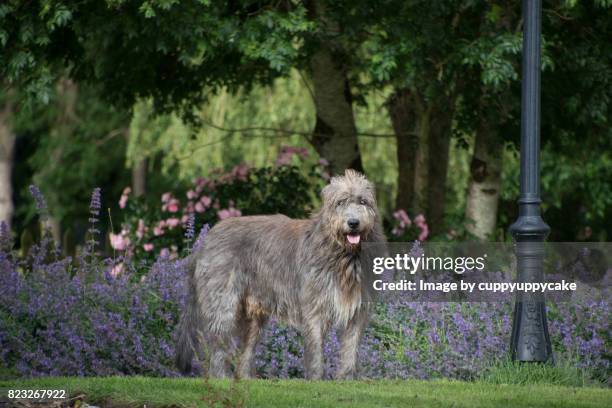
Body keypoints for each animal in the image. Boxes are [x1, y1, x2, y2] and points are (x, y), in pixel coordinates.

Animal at [177, 169, 384, 380]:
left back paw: (246, 379)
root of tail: (205, 240)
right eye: (340, 202)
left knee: (246, 350)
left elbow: (351, 347)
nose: (353, 223)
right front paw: (316, 380)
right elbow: (316, 348)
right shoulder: (315, 306)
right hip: (222, 302)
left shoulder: (358, 309)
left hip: (254, 314)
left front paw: (348, 380)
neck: (344, 254)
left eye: (363, 201)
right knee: (219, 344)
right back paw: (222, 378)